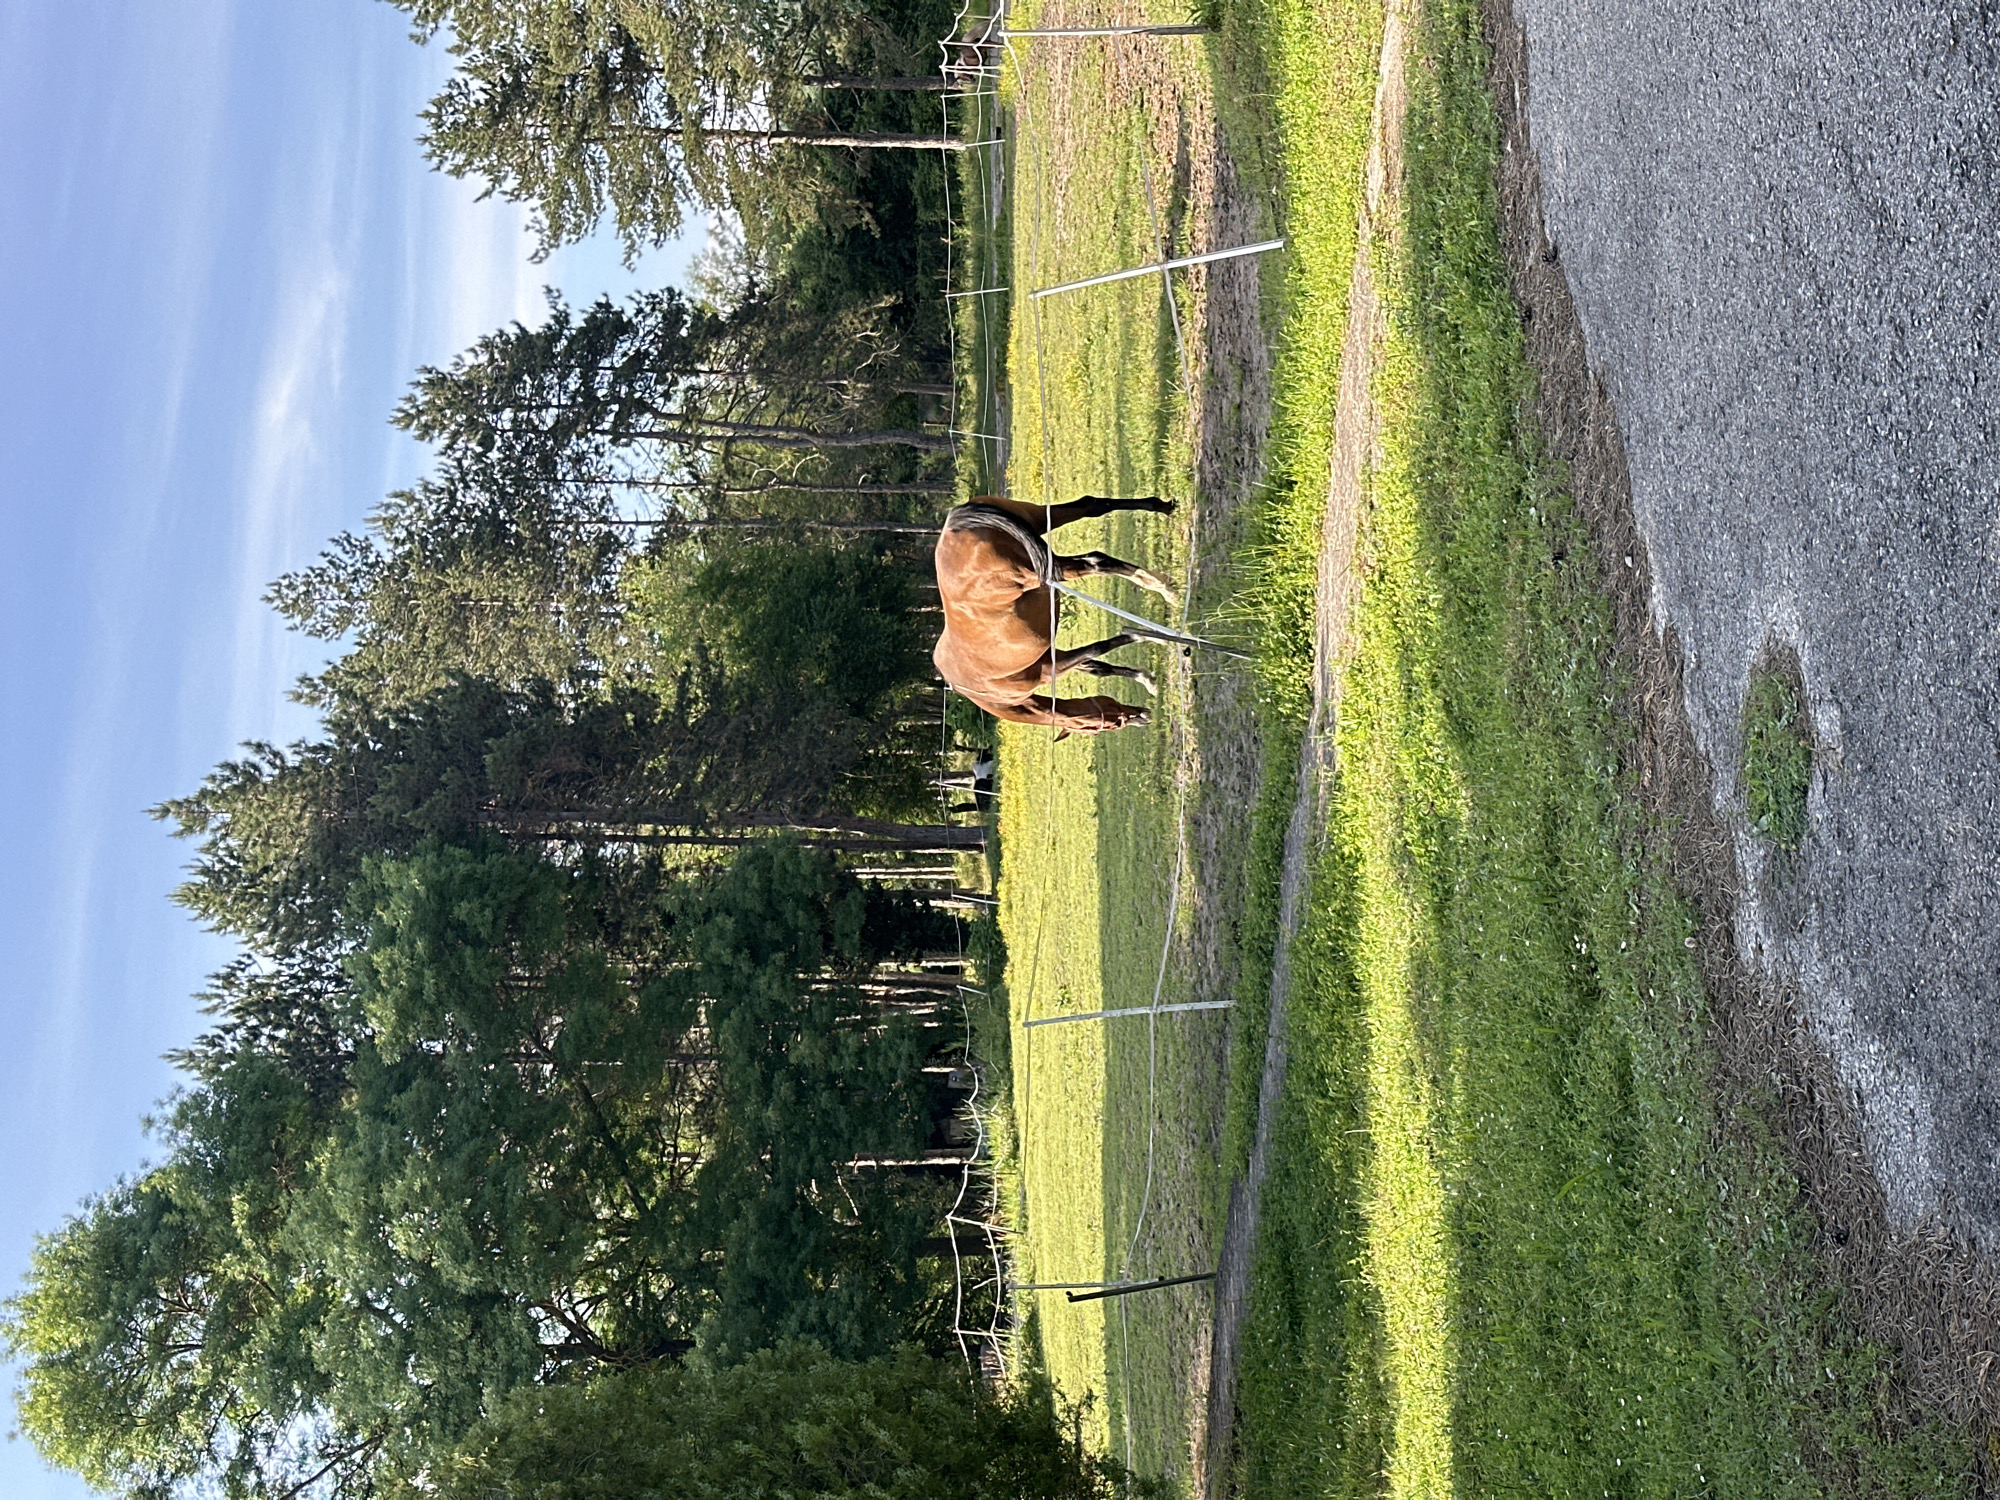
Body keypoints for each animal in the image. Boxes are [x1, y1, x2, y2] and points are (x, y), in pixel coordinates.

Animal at [931, 495, 1177, 736]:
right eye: (1108, 726)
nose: (1142, 716)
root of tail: (956, 523)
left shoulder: (1049, 669)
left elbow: (1097, 649)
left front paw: (1153, 636)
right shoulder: (1052, 658)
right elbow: (1098, 665)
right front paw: (1149, 677)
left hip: (1038, 569)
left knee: (1097, 561)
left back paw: (1163, 587)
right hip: (1039, 518)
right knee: (1092, 507)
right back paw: (1161, 509)